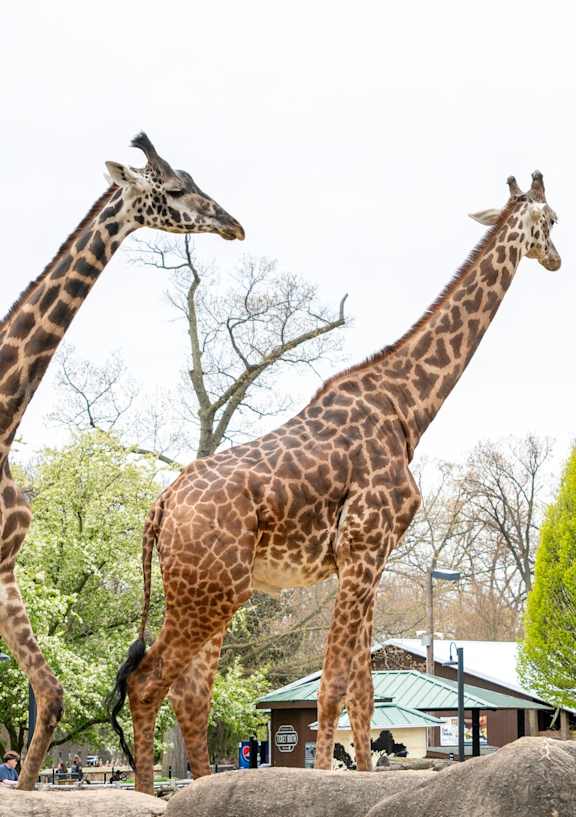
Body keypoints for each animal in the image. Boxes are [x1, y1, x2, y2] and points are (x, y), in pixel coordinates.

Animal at [109, 171, 560, 793]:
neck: (407, 409)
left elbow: (364, 693)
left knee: (192, 695)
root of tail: (159, 506)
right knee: (150, 682)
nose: (557, 259)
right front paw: (324, 779)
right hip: (208, 592)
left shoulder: (368, 559)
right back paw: (154, 796)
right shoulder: (363, 547)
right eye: (553, 219)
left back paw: (200, 788)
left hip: (213, 592)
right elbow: (332, 688)